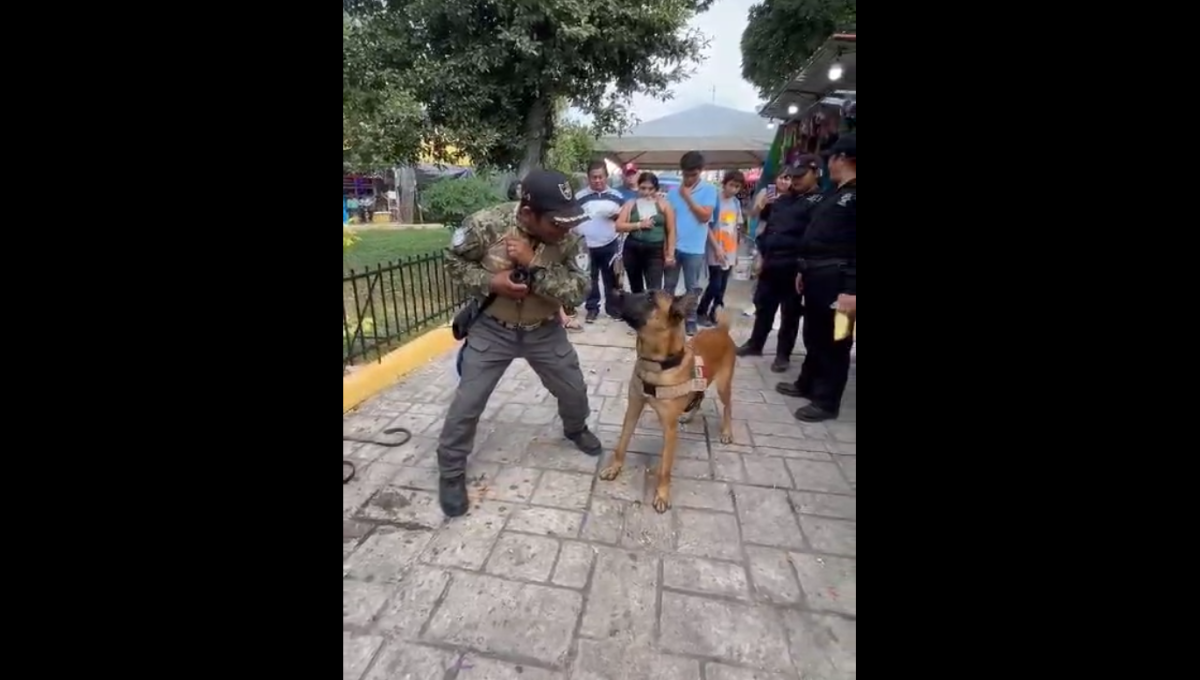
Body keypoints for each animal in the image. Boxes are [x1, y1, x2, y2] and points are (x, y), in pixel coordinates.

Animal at [597, 290, 734, 513]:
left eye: (650, 299)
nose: (615, 291)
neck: (655, 365)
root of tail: (721, 330)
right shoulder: (633, 408)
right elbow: (622, 443)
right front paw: (614, 468)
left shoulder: (669, 429)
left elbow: (665, 468)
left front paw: (662, 495)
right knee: (700, 396)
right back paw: (689, 416)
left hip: (723, 386)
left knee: (728, 407)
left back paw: (727, 432)